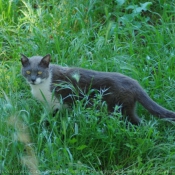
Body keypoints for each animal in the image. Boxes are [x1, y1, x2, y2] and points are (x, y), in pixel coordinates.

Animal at [20, 54, 175, 123]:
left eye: (39, 73)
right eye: (28, 72)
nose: (33, 79)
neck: (41, 88)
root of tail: (134, 83)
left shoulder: (58, 102)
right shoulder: (48, 105)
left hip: (121, 108)